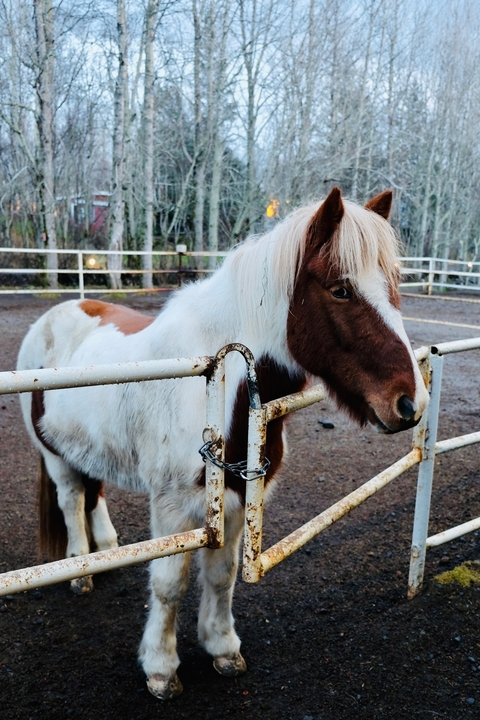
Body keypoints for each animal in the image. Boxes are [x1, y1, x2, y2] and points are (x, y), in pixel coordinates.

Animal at [17, 187, 429, 700]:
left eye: (393, 283)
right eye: (340, 289)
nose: (411, 403)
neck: (219, 382)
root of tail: (52, 319)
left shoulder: (235, 500)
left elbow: (222, 574)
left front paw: (222, 647)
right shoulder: (173, 509)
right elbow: (169, 585)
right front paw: (161, 667)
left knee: (94, 494)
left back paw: (106, 551)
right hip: (54, 456)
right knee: (72, 500)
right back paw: (81, 570)